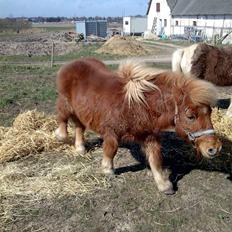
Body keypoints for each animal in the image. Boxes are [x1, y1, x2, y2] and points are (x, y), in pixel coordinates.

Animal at [55, 57, 222, 194]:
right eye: (190, 116)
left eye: (210, 112)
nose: (214, 148)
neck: (137, 105)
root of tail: (70, 64)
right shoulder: (111, 133)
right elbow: (111, 150)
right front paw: (108, 170)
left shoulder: (149, 137)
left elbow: (155, 159)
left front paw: (164, 185)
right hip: (66, 104)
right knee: (62, 118)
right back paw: (60, 136)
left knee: (79, 127)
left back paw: (80, 148)